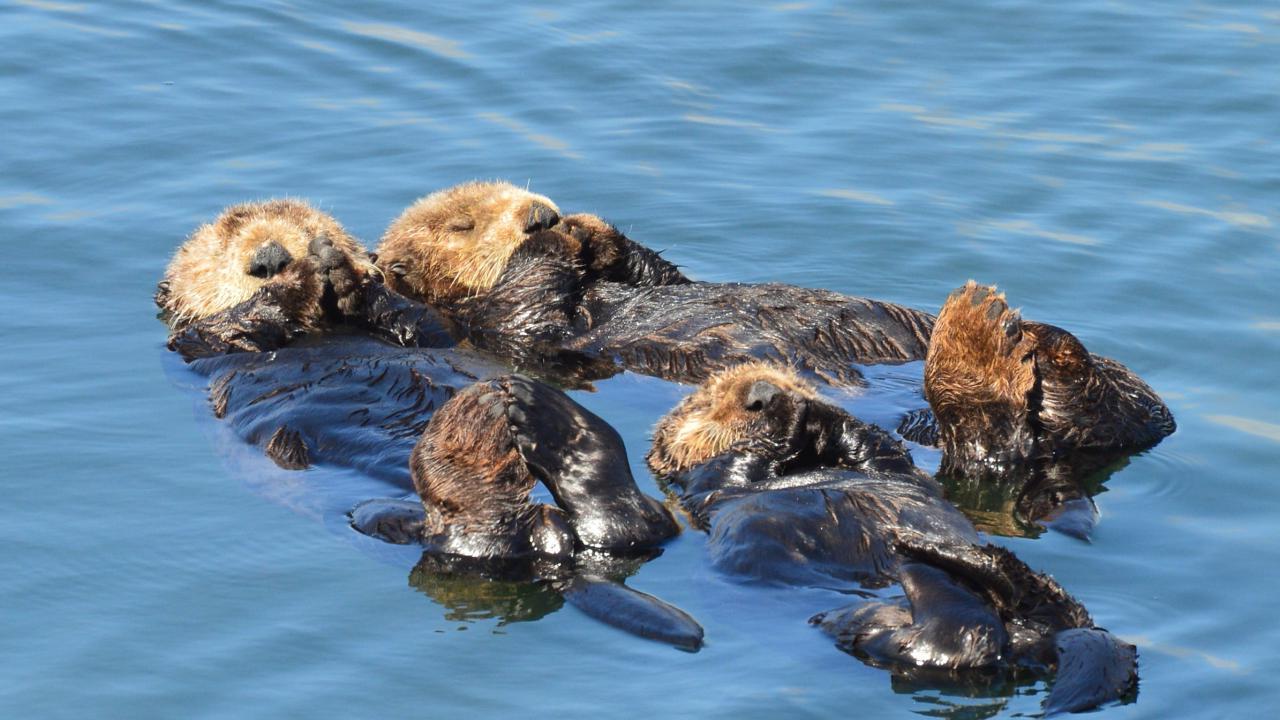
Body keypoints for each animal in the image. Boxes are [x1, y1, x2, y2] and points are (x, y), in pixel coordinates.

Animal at [373, 178, 936, 384]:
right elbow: (528, 308)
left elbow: (663, 276)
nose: (541, 213)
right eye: (461, 226)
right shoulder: (491, 324)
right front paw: (553, 239)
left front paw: (586, 228)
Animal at [650, 363, 1141, 712]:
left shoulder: (888, 463)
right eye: (708, 402)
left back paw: (954, 556)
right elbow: (733, 465)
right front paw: (786, 424)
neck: (802, 466)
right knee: (961, 641)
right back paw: (925, 558)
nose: (763, 395)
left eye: (780, 374)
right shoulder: (709, 484)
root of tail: (1031, 640)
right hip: (873, 629)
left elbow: (874, 445)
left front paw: (814, 409)